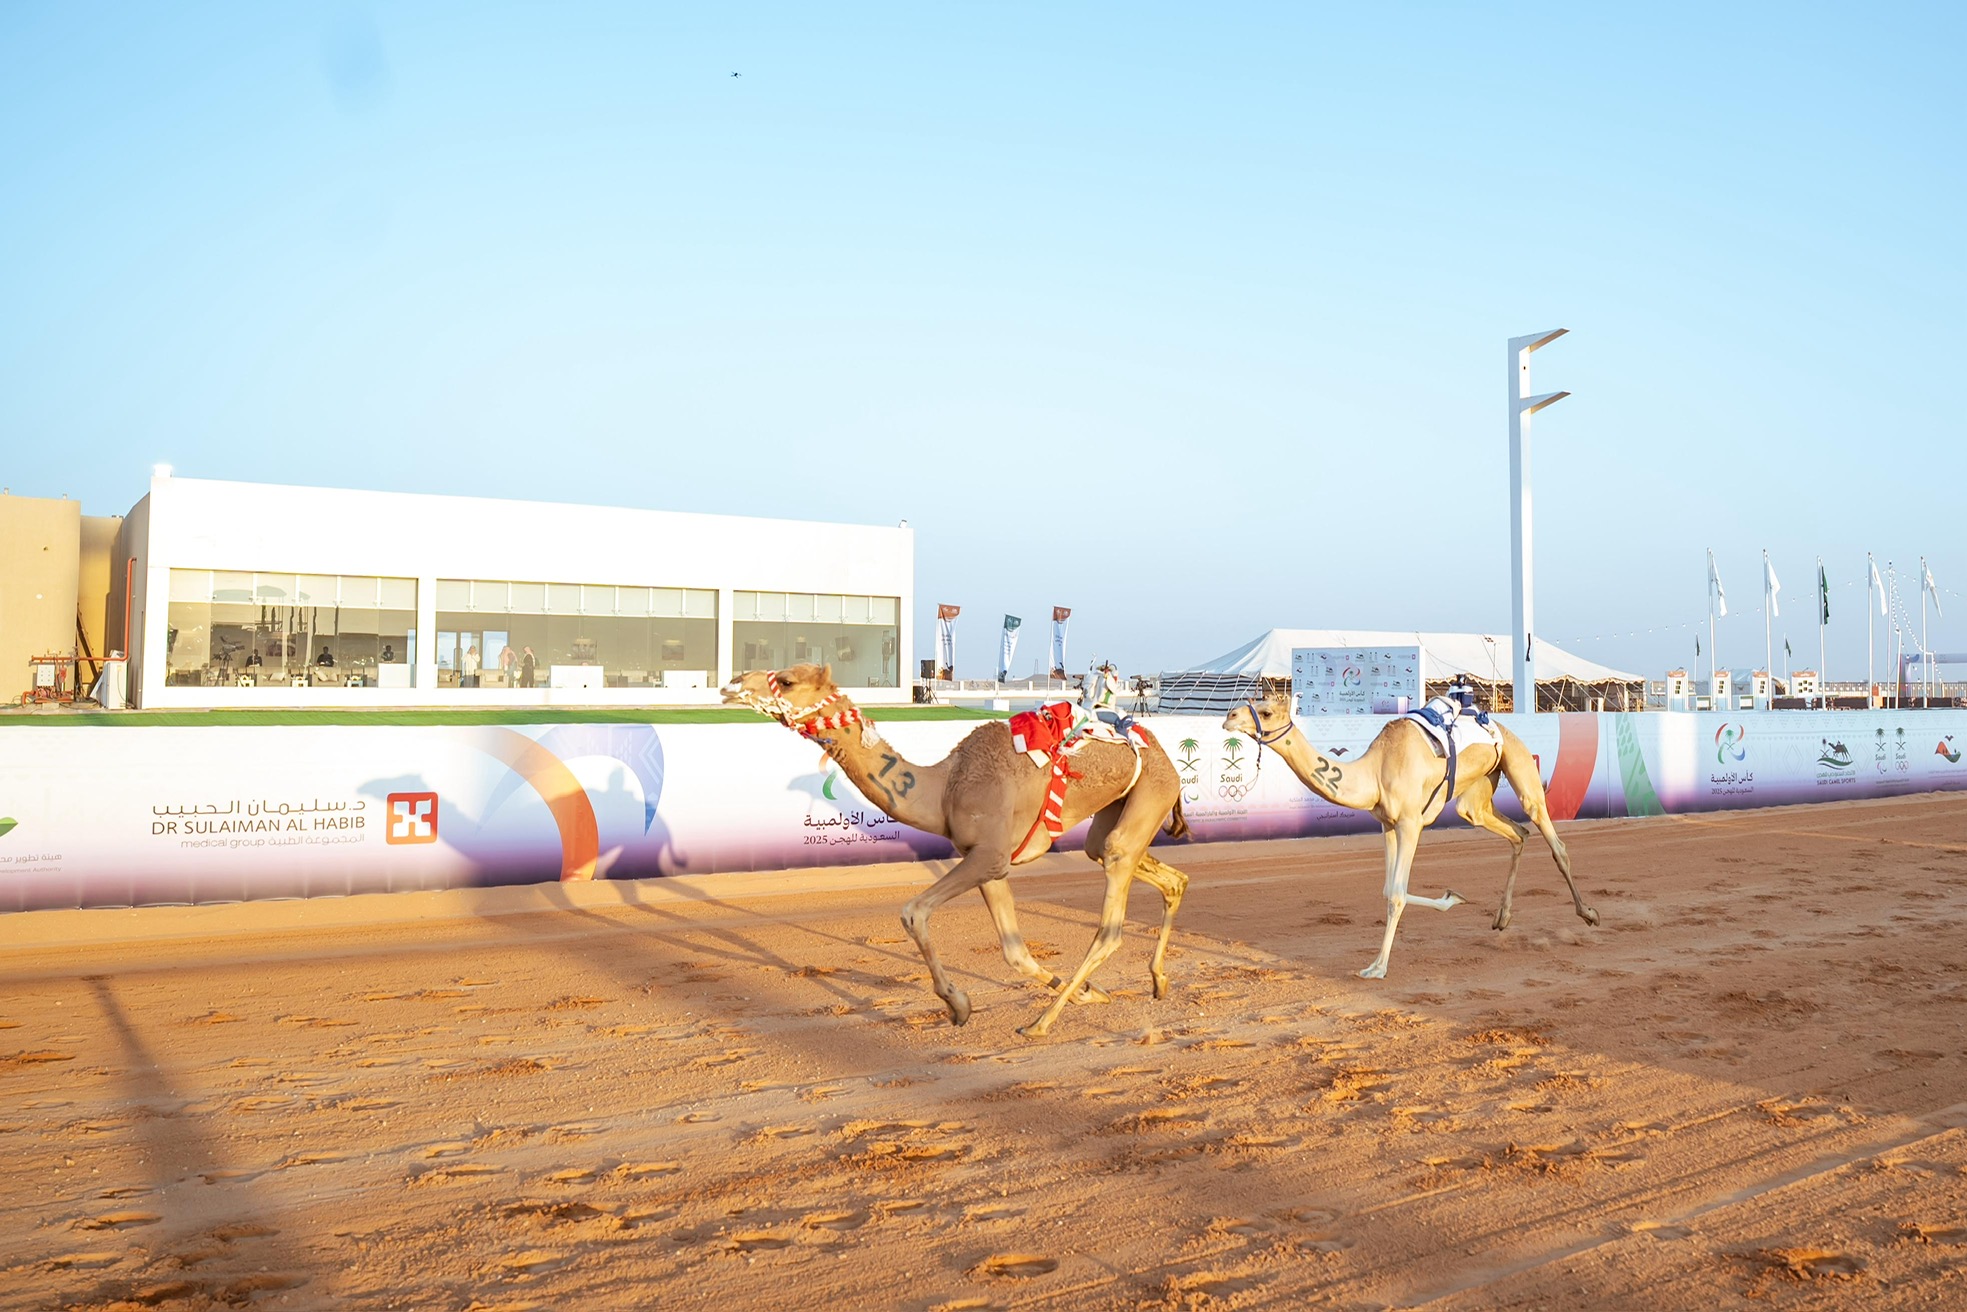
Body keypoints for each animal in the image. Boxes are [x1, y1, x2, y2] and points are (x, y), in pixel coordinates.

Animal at [725, 664, 1193, 1037]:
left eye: (787, 681)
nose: (732, 683)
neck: (944, 788)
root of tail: (1164, 755)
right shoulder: (990, 863)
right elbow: (1015, 953)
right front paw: (1091, 994)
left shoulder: (988, 855)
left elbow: (913, 912)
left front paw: (958, 1004)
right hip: (1117, 812)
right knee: (1159, 874)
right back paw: (1157, 980)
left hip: (1151, 793)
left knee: (1111, 917)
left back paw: (1041, 1023)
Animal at [1221, 691, 1596, 979]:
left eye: (1267, 712)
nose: (1229, 716)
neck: (1373, 772)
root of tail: (1499, 725)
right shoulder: (1387, 824)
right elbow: (1388, 890)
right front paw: (1454, 897)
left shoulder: (1410, 823)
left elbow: (1398, 894)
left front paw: (1377, 968)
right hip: (1477, 794)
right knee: (1515, 832)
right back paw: (1501, 918)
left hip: (1518, 762)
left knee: (1551, 836)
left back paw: (1589, 913)